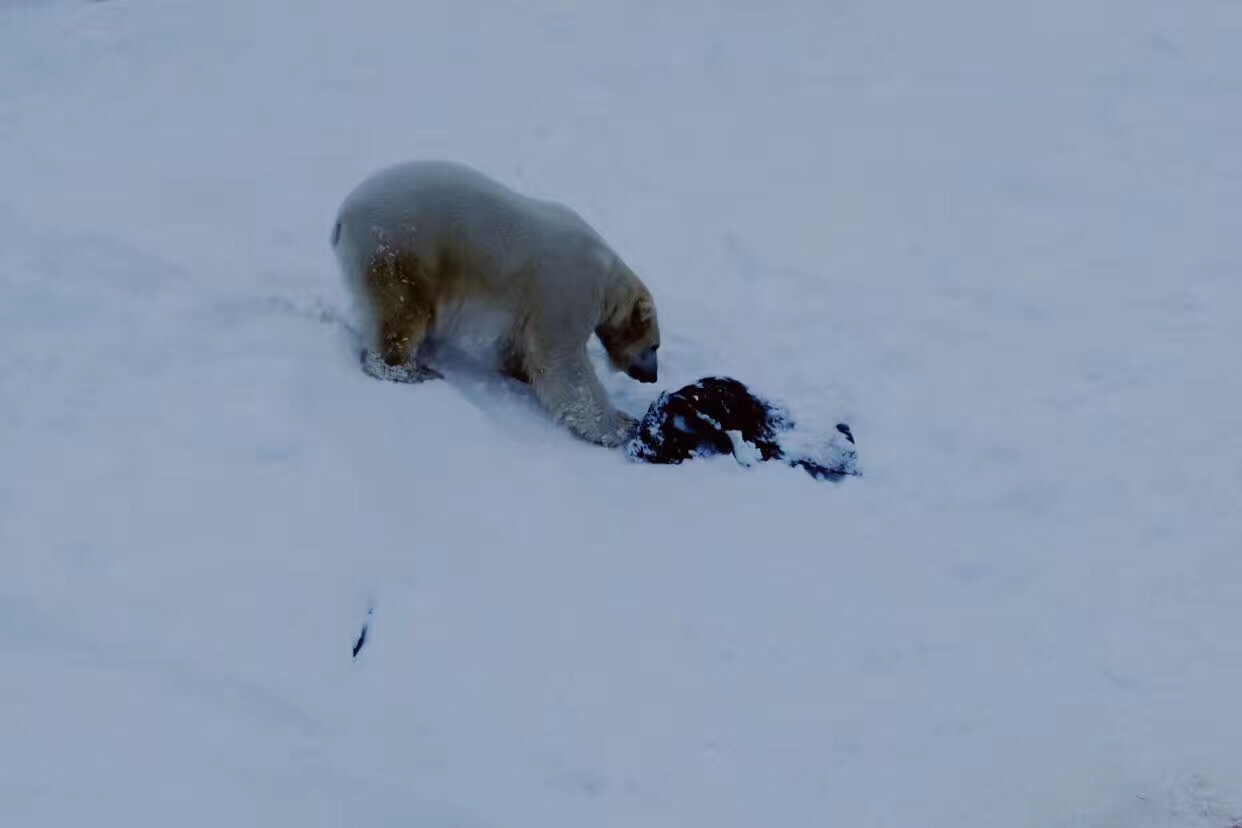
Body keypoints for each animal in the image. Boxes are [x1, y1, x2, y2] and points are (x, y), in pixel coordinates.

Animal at [330, 160, 660, 446]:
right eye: (654, 346)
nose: (652, 377)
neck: (607, 276)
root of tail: (344, 215)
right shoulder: (567, 289)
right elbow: (564, 363)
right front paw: (623, 424)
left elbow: (521, 346)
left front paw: (520, 373)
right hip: (399, 246)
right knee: (401, 312)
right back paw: (412, 371)